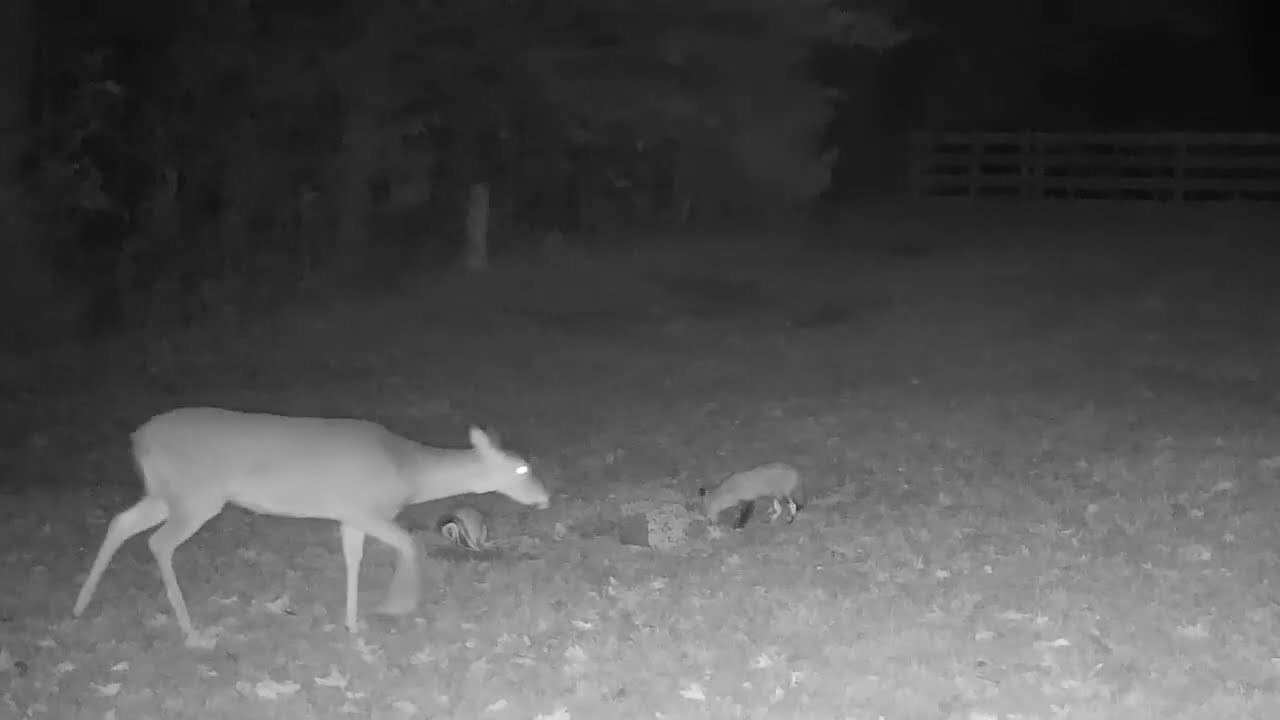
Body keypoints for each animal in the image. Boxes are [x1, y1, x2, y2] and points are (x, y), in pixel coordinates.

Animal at [72, 407, 550, 641]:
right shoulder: (363, 507)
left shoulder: (348, 514)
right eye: (523, 468)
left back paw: (79, 606)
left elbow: (353, 559)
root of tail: (137, 438)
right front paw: (397, 605)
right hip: (197, 495)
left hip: (164, 492)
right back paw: (191, 629)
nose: (545, 497)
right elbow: (409, 544)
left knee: (121, 522)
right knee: (160, 542)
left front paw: (352, 624)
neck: (407, 470)